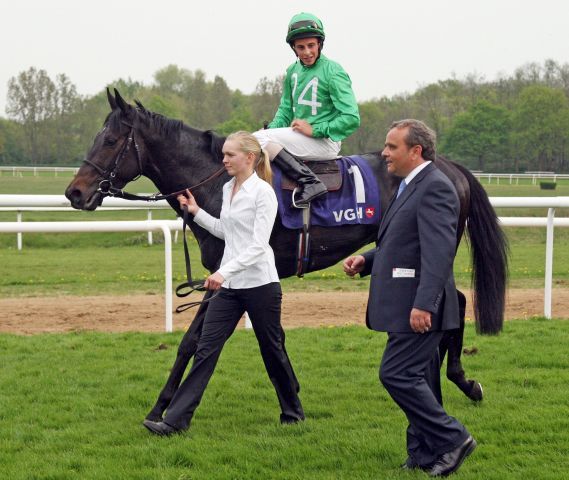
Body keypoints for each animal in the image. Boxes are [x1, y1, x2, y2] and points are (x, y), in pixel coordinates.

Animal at [65, 88, 506, 422]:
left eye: (109, 141)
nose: (74, 192)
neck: (218, 180)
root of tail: (446, 164)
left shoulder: (225, 274)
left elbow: (192, 341)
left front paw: (160, 407)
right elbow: (263, 336)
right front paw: (289, 392)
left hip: (435, 248)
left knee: (454, 303)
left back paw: (463, 382)